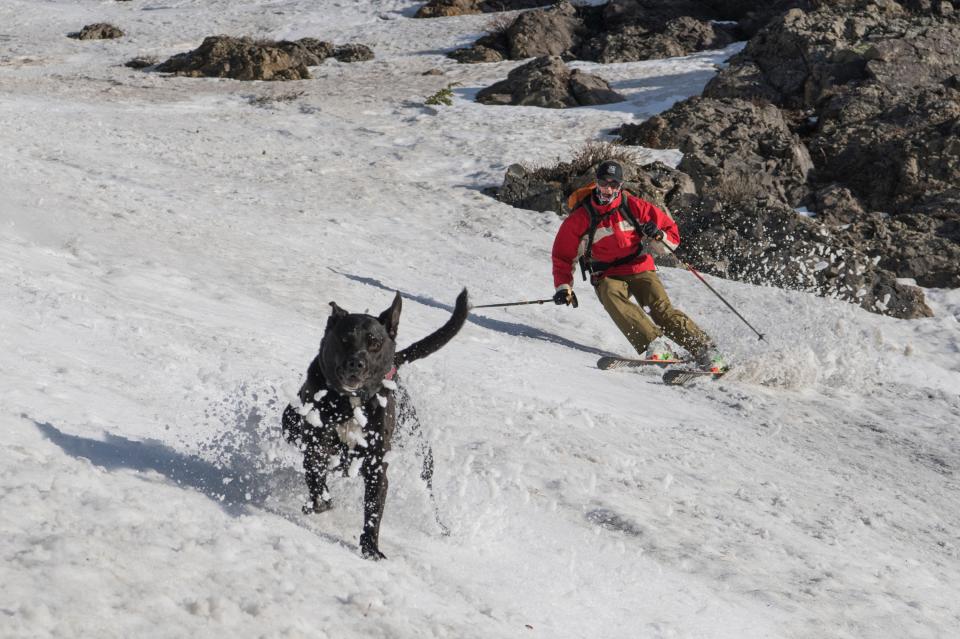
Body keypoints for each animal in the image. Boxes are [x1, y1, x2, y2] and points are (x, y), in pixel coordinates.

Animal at [282, 290, 468, 560]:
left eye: (375, 343)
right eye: (345, 339)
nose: (356, 363)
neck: (350, 403)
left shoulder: (377, 464)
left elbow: (373, 510)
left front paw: (371, 548)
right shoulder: (316, 441)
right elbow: (316, 475)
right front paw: (320, 502)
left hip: (421, 453)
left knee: (427, 490)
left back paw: (440, 525)